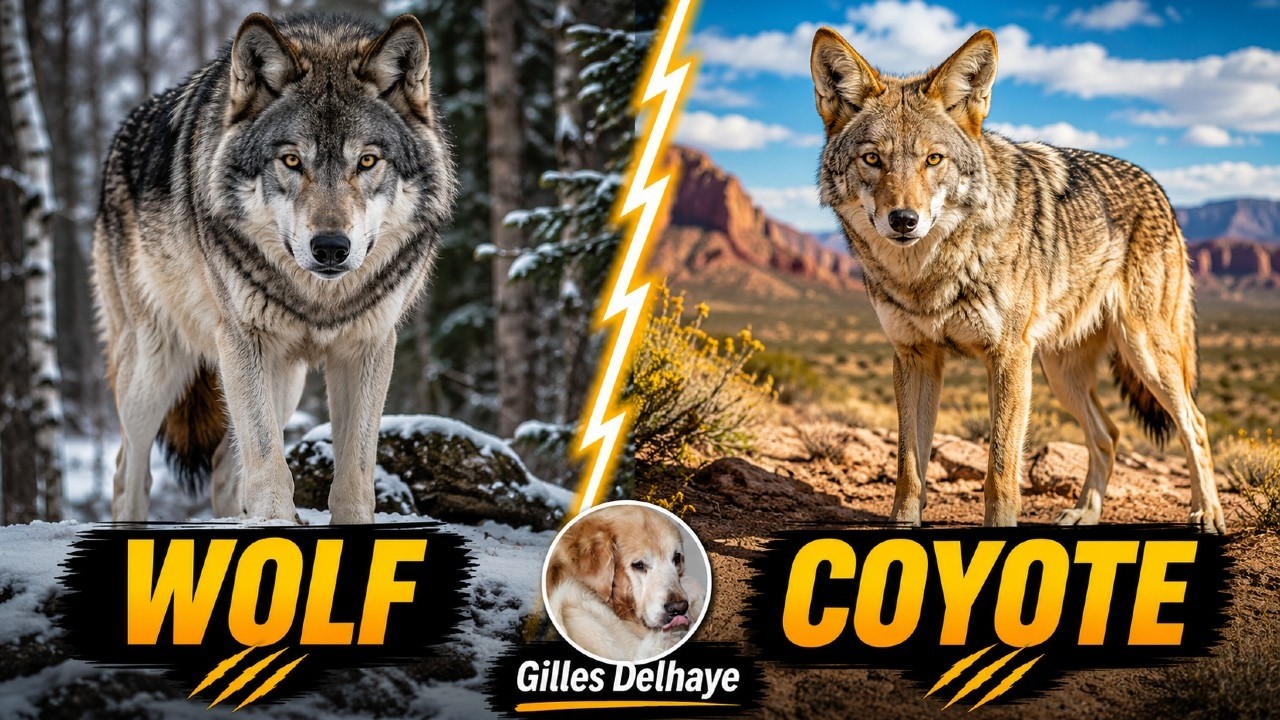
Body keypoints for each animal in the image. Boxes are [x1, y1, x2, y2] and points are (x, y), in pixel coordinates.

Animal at [93, 12, 456, 523]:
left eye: (367, 161)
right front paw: (275, 524)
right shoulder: (242, 341)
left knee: (226, 470)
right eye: (291, 160)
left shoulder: (367, 346)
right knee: (129, 470)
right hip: (155, 367)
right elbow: (268, 462)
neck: (320, 300)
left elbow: (355, 471)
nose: (330, 248)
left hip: (284, 380)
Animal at [809, 28, 1224, 532]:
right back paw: (1085, 512)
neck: (928, 276)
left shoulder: (1007, 356)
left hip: (1144, 354)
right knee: (1108, 433)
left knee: (1195, 425)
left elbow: (1001, 470)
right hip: (1060, 372)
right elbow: (909, 468)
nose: (904, 220)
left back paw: (1207, 512)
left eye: (933, 159)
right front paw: (902, 530)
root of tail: (1159, 188)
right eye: (872, 159)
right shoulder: (915, 356)